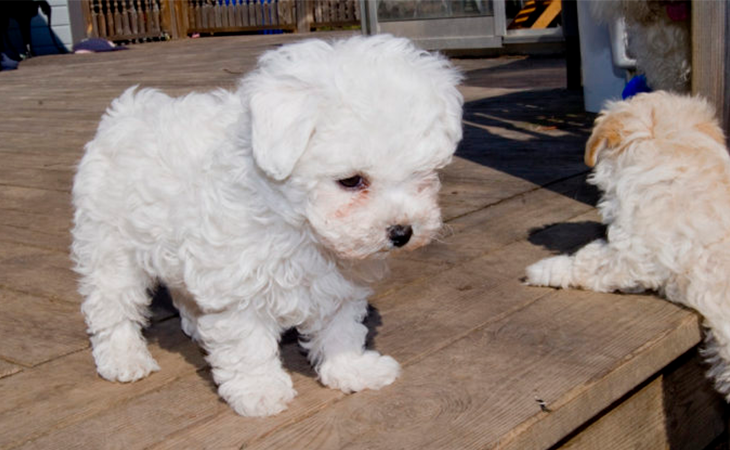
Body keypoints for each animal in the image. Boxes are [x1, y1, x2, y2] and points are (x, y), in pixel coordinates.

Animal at [69, 33, 460, 416]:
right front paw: (259, 390)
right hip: (110, 245)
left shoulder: (337, 285)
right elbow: (248, 344)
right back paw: (123, 357)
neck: (298, 224)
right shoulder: (238, 286)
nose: (402, 232)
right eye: (351, 181)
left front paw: (352, 369)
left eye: (421, 174)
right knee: (111, 303)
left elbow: (339, 330)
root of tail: (127, 111)